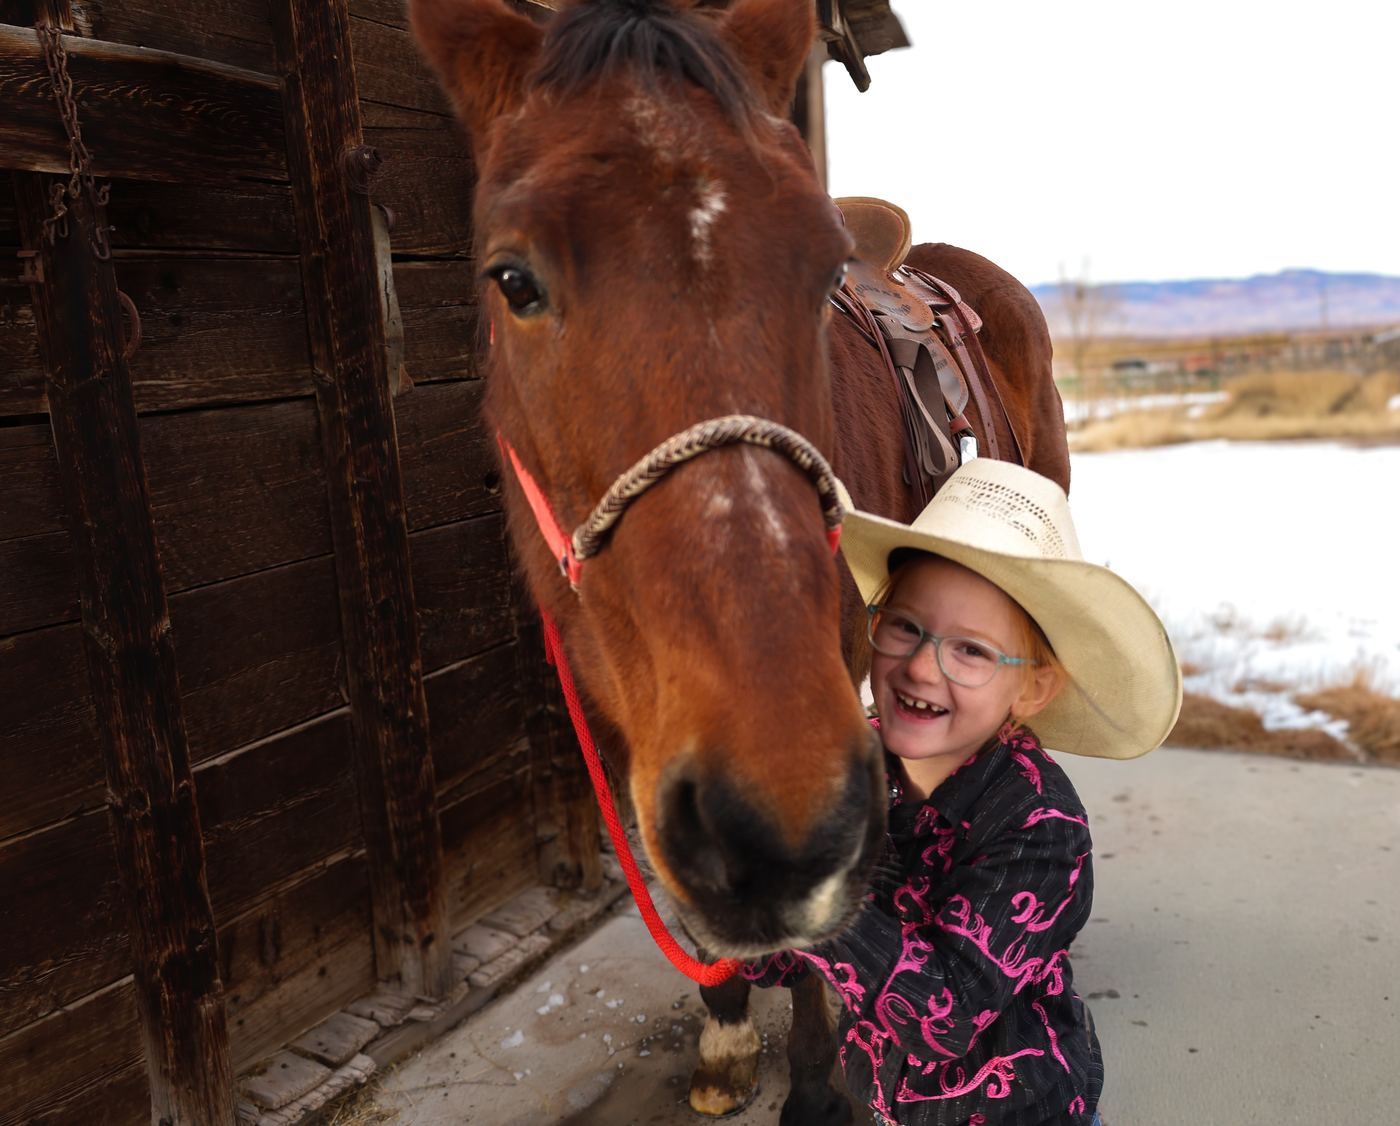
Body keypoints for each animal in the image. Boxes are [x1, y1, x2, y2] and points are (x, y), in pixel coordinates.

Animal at [409, 1, 1069, 1121]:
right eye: (512, 279)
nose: (776, 823)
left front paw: (811, 1071)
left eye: (822, 272)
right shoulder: (623, 717)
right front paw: (723, 1028)